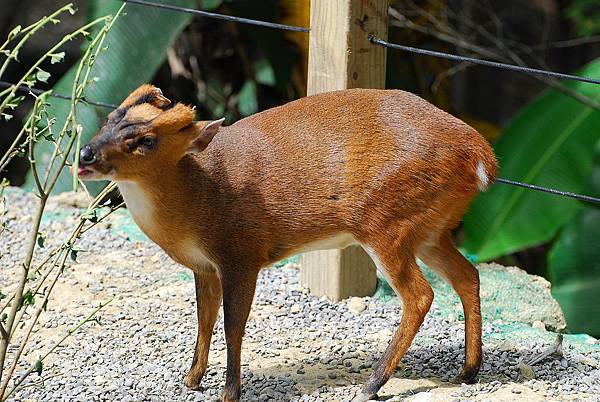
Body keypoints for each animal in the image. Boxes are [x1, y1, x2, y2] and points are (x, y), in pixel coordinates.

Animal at [76, 85, 496, 402]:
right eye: (110, 118)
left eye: (145, 140)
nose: (86, 153)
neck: (199, 198)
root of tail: (481, 155)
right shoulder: (204, 265)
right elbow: (204, 319)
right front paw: (191, 378)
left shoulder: (241, 253)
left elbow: (233, 324)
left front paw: (229, 393)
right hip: (429, 228)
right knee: (468, 274)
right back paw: (468, 371)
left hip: (385, 222)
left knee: (421, 294)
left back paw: (372, 385)